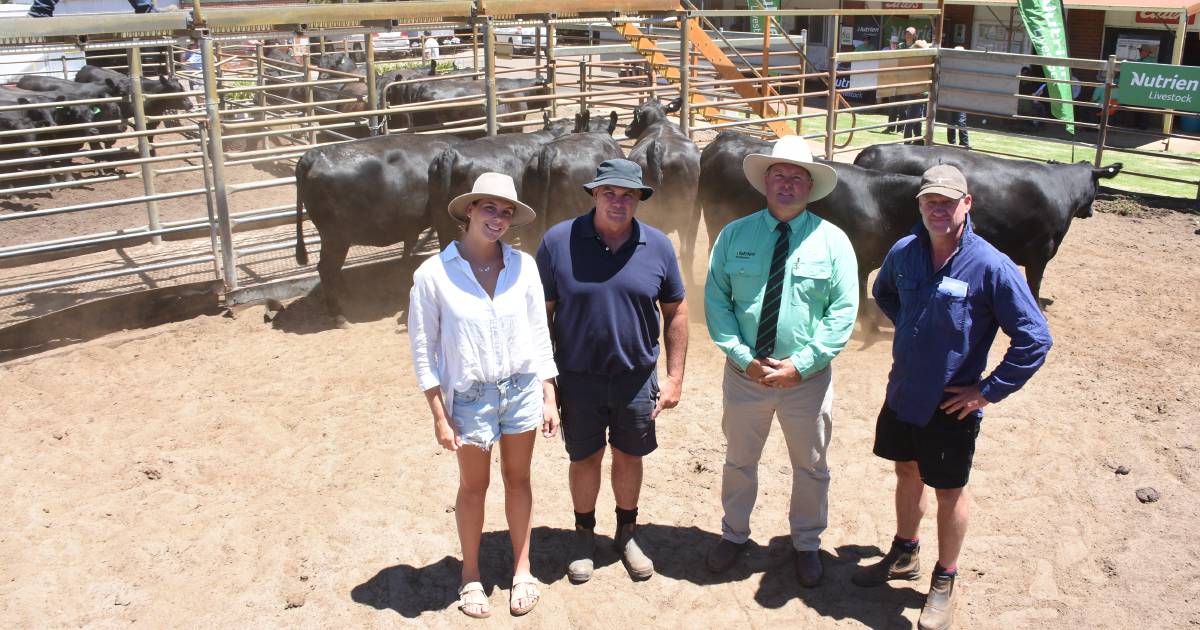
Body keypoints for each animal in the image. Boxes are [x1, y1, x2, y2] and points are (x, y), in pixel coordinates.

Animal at [854, 145, 1123, 307]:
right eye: (1097, 185)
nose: (1091, 211)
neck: (1061, 188)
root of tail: (871, 152)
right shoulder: (1041, 251)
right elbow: (1034, 283)